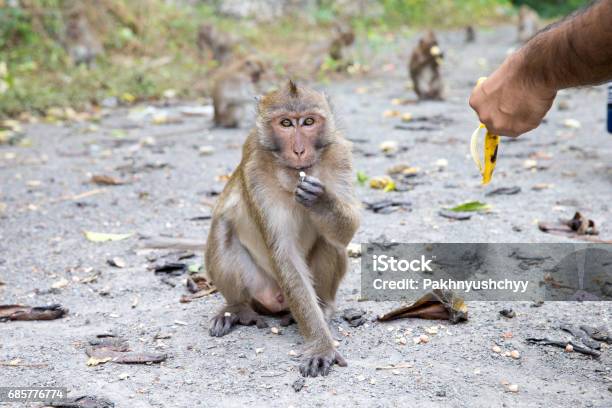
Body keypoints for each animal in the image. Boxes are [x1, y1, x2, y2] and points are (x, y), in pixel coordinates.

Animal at [206, 79, 358, 376]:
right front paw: (322, 346)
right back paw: (236, 309)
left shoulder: (339, 154)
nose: (299, 150)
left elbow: (349, 228)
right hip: (259, 286)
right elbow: (283, 252)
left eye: (309, 121)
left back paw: (325, 307)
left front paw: (322, 202)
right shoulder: (255, 171)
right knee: (222, 226)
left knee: (330, 240)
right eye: (286, 123)